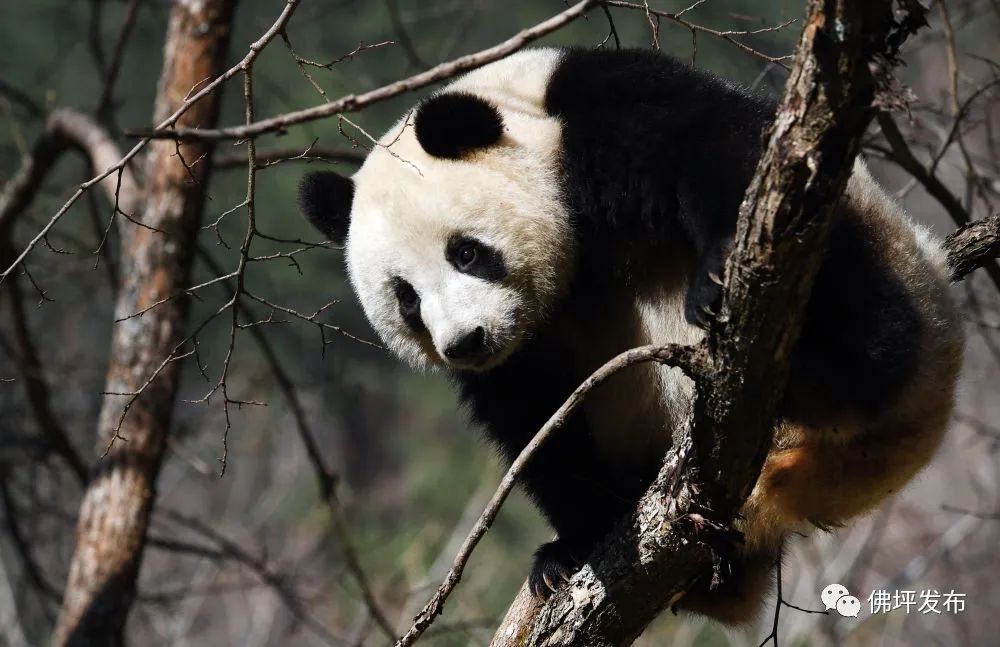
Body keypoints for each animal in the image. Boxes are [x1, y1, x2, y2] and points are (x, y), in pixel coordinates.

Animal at [298, 48, 968, 624]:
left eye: (466, 252)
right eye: (406, 299)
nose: (465, 342)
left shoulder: (605, 117)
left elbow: (724, 156)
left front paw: (717, 280)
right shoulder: (522, 355)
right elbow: (537, 422)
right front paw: (569, 548)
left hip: (892, 272)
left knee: (856, 297)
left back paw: (824, 372)